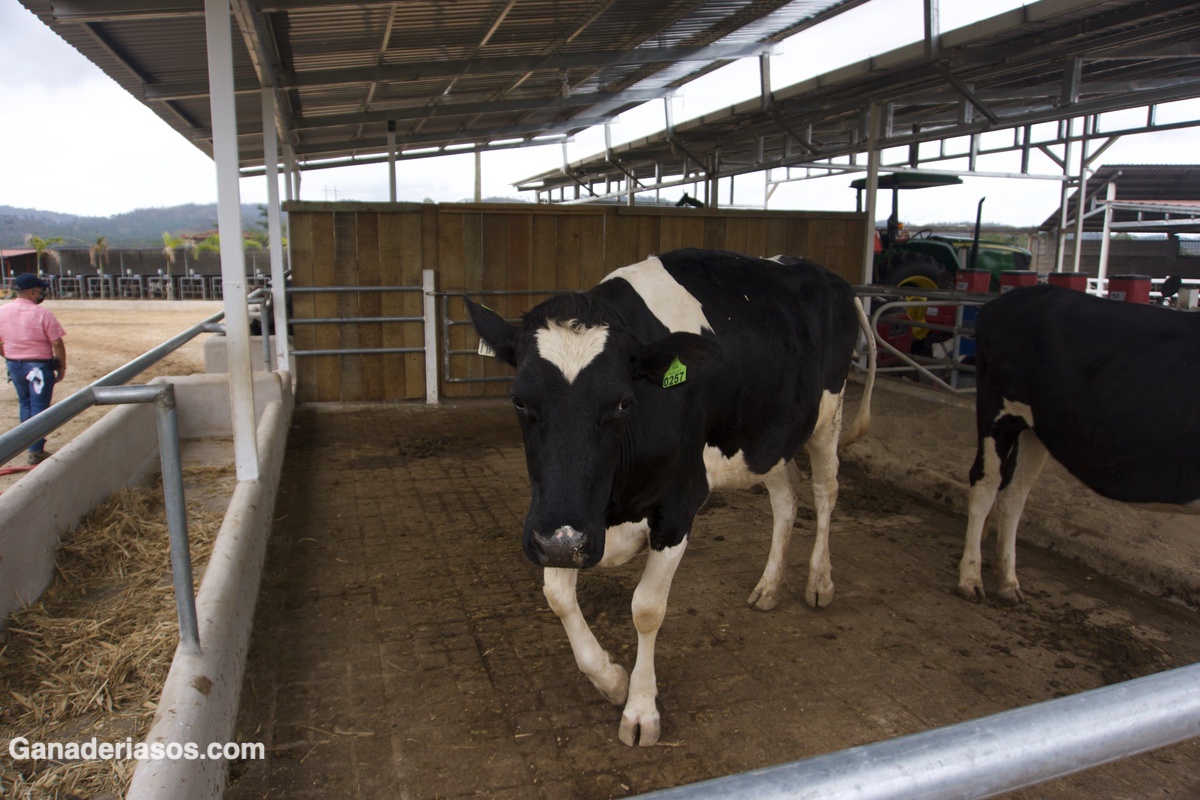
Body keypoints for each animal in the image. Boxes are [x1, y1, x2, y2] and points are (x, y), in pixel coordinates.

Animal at [465, 248, 873, 743]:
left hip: (828, 414)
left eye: (624, 401)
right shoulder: (562, 520)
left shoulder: (678, 504)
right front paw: (611, 680)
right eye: (518, 400)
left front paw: (641, 709)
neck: (615, 507)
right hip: (767, 435)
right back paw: (769, 586)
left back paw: (819, 581)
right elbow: (557, 596)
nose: (562, 542)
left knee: (826, 490)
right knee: (786, 499)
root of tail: (820, 271)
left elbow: (646, 609)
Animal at [960, 284, 1200, 604]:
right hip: (998, 411)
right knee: (985, 483)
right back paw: (970, 579)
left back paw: (1008, 583)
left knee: (1014, 494)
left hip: (1035, 429)